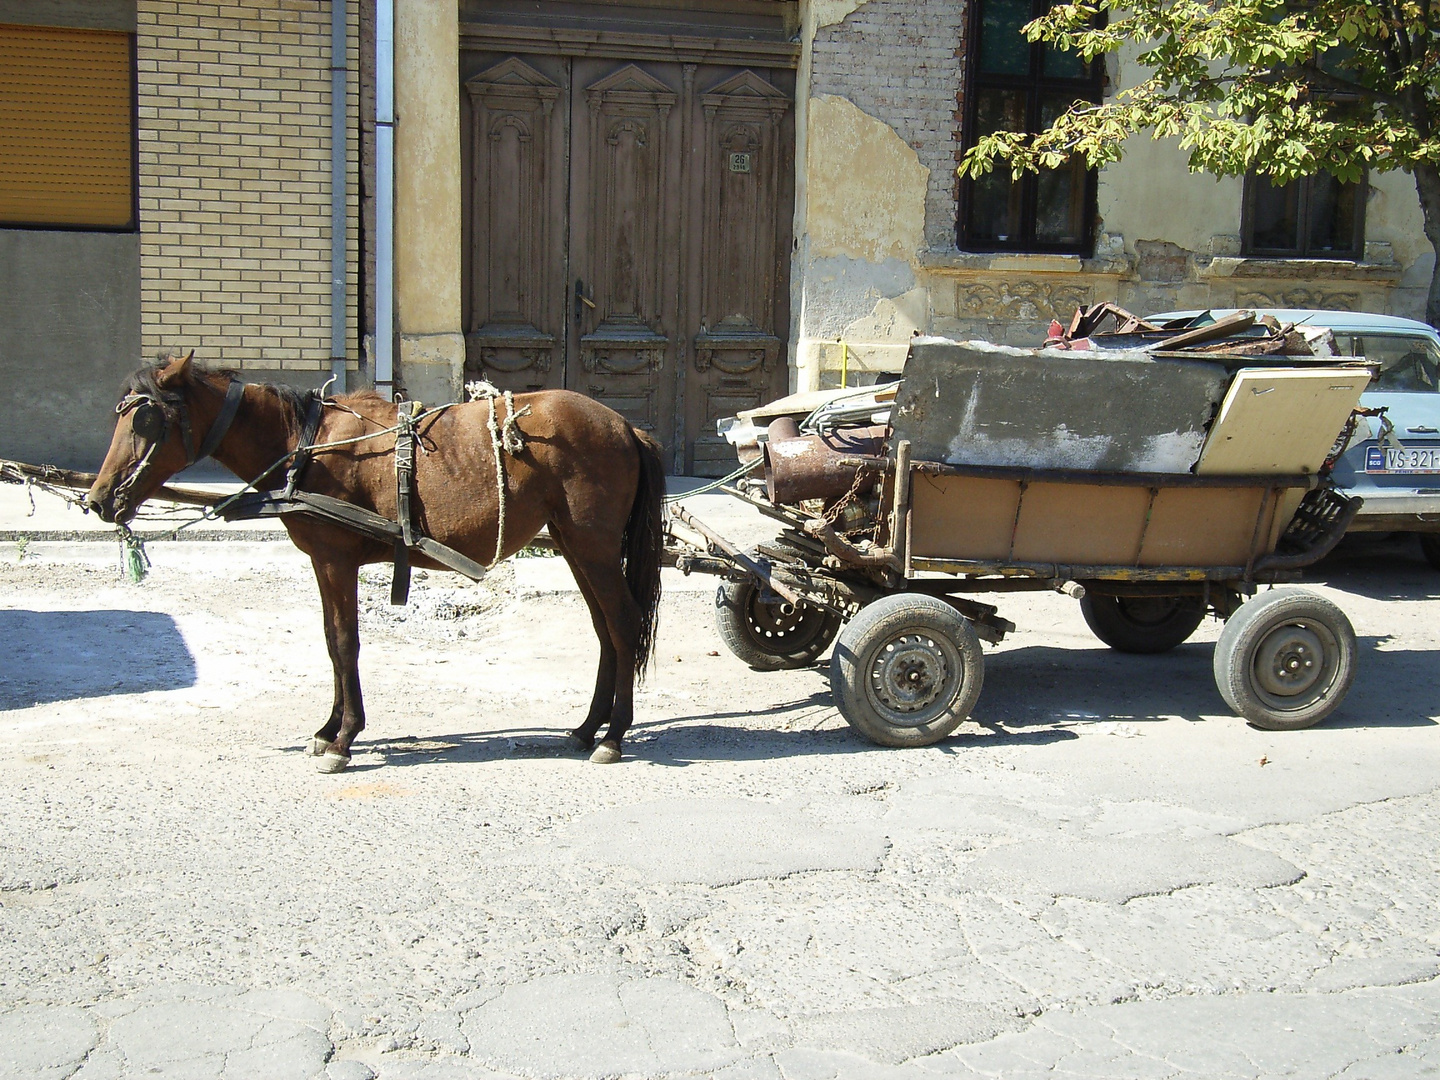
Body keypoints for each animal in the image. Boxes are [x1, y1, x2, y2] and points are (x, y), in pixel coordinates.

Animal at [90, 355, 668, 771]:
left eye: (145, 419)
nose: (98, 499)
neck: (306, 446)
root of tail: (624, 427)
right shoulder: (323, 564)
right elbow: (331, 642)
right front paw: (328, 729)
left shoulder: (337, 561)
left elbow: (346, 643)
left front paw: (344, 739)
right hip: (574, 547)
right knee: (605, 630)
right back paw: (588, 728)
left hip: (593, 549)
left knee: (623, 624)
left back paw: (614, 736)